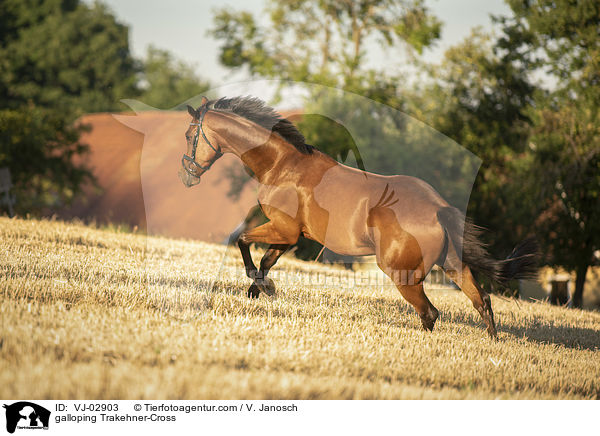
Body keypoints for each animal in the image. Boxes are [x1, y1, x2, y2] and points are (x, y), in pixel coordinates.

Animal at [176, 97, 536, 338]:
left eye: (189, 136)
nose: (186, 176)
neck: (283, 165)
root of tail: (438, 207)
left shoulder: (283, 229)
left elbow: (242, 242)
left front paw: (262, 288)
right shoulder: (293, 235)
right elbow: (266, 260)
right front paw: (260, 290)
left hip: (402, 274)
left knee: (430, 313)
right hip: (452, 264)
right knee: (482, 301)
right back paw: (492, 343)